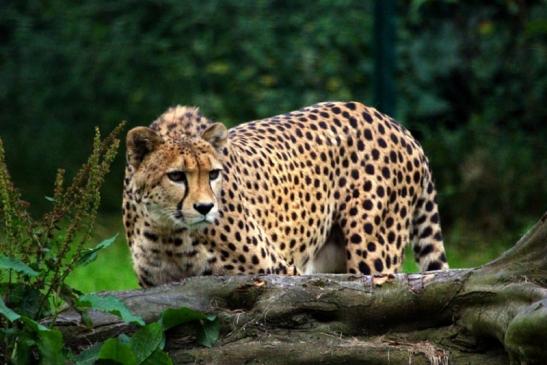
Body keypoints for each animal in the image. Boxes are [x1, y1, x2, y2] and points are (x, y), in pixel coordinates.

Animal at [124, 101, 450, 286]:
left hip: (372, 251)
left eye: (213, 174)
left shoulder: (277, 272)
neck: (168, 233)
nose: (205, 208)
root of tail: (392, 122)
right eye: (177, 176)